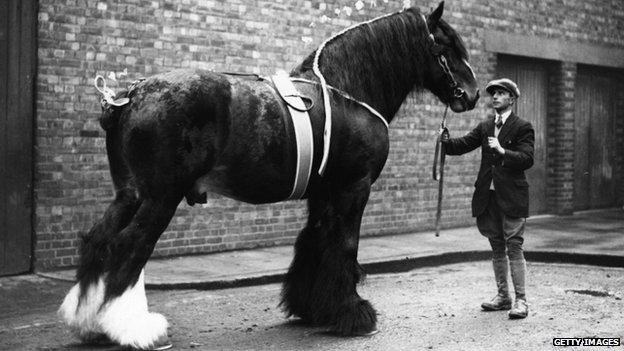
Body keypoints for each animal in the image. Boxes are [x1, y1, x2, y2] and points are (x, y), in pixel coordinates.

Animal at [59, 2, 478, 350]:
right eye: (446, 48)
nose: (472, 94)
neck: (346, 92)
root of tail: (130, 95)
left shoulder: (323, 194)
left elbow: (313, 242)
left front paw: (311, 307)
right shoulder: (353, 188)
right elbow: (344, 245)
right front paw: (353, 313)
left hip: (129, 194)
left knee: (98, 240)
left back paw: (89, 323)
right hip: (160, 198)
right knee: (129, 247)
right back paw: (134, 330)